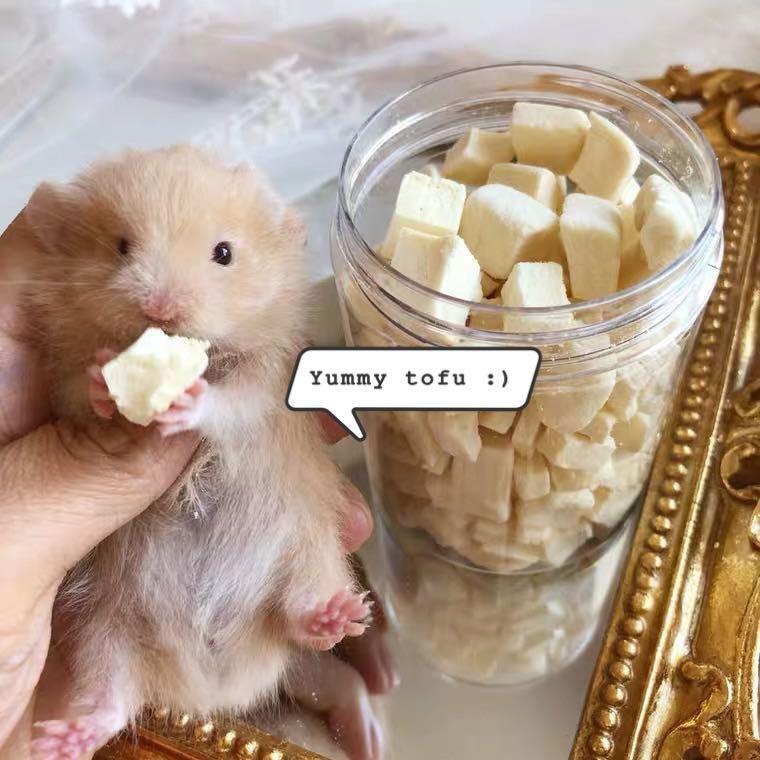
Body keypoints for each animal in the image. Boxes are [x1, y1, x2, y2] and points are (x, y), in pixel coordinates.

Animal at [23, 146, 369, 759]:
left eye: (224, 253)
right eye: (120, 246)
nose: (161, 309)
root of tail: (211, 694)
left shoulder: (267, 382)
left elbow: (232, 403)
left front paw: (184, 400)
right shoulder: (61, 382)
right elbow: (80, 397)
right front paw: (107, 384)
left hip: (309, 547)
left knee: (298, 615)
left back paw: (338, 615)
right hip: (104, 628)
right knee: (111, 699)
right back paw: (63, 739)